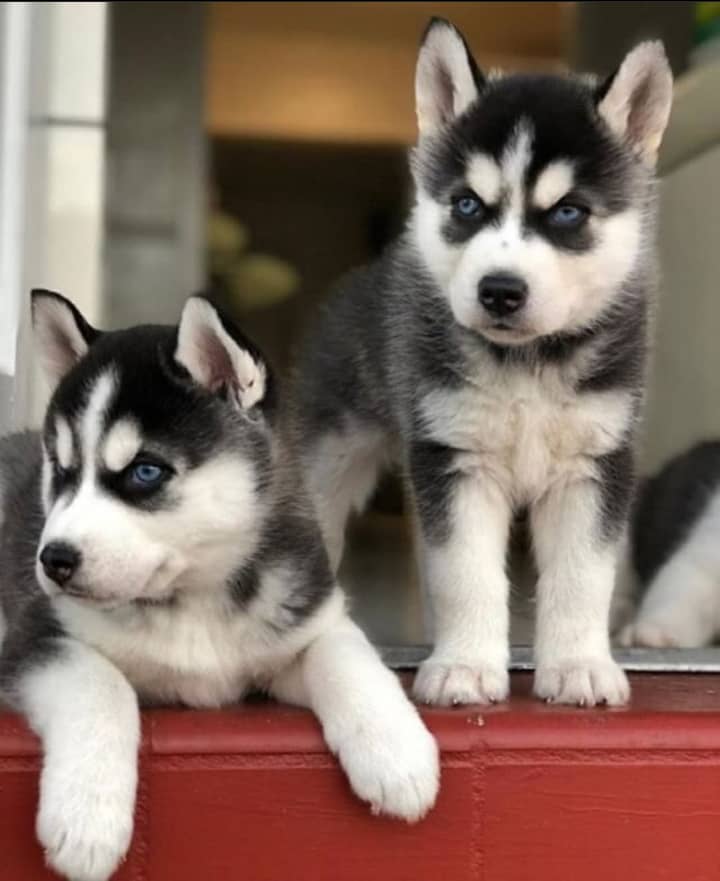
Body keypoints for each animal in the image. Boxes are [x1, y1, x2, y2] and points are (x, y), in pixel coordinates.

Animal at [0, 292, 438, 880]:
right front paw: (87, 820)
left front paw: (397, 752)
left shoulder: (303, 621)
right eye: (61, 469)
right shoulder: (37, 637)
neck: (194, 599)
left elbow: (347, 655)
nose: (54, 560)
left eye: (145, 472)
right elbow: (102, 684)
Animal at [292, 17, 676, 708]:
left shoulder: (594, 465)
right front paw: (466, 666)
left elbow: (582, 576)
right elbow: (466, 572)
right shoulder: (456, 462)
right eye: (468, 205)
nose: (499, 290)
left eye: (568, 212)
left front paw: (578, 665)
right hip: (333, 452)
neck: (526, 363)